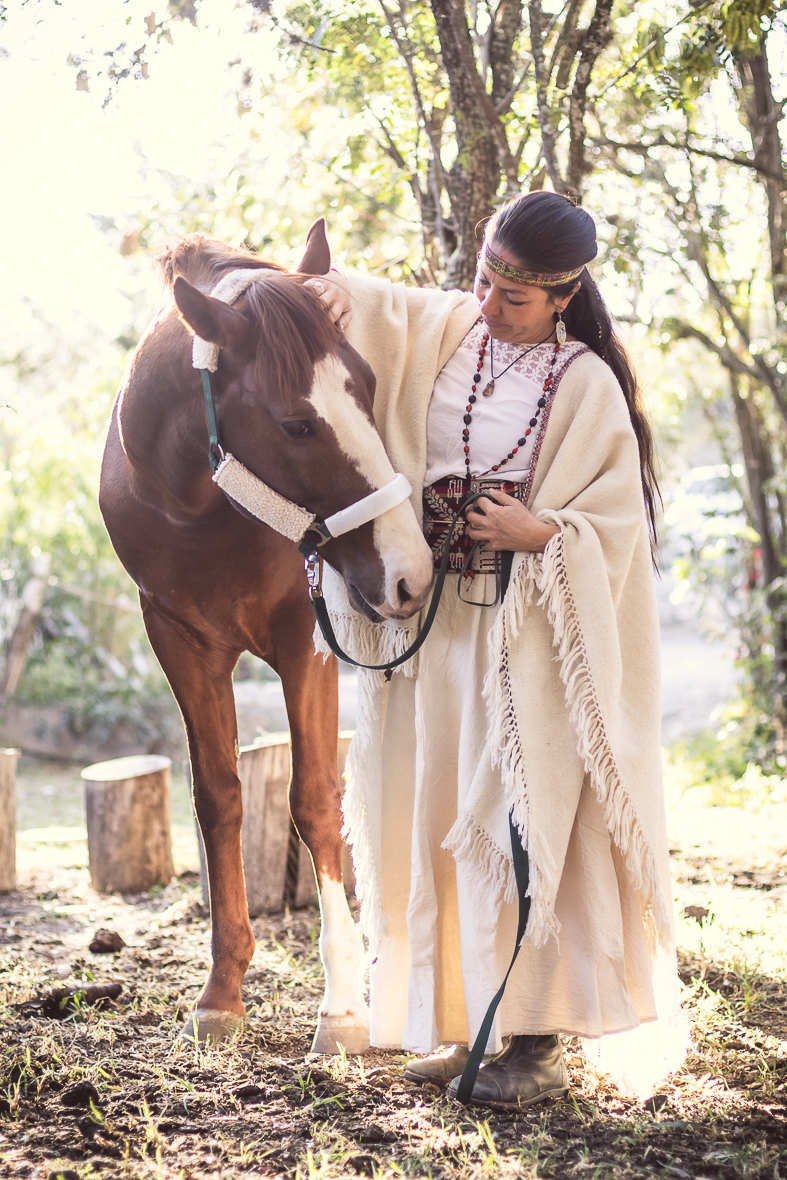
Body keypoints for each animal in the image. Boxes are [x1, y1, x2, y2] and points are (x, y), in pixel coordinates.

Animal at [99, 220, 434, 1053]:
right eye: (295, 424)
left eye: (368, 387)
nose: (411, 573)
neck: (195, 505)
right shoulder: (178, 641)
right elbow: (217, 796)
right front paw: (222, 990)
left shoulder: (303, 639)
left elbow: (314, 799)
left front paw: (341, 1006)